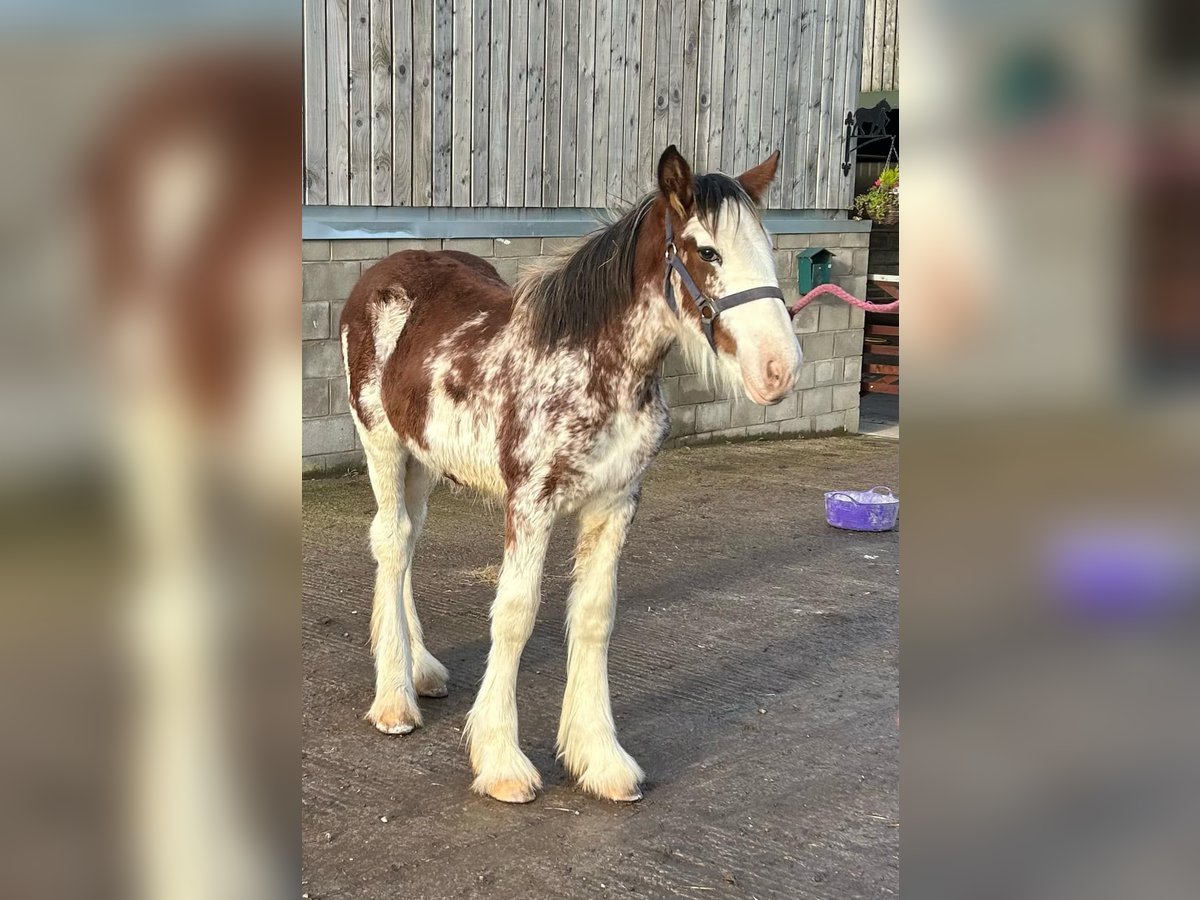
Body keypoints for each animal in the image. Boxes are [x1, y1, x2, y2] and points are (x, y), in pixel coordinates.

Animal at [343, 146, 801, 801]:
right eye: (707, 251)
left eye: (767, 246)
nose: (779, 369)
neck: (594, 365)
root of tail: (382, 274)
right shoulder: (530, 502)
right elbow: (515, 614)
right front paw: (501, 761)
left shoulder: (616, 504)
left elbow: (593, 616)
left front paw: (600, 759)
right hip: (381, 443)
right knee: (391, 541)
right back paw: (393, 699)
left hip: (423, 461)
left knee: (407, 543)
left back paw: (420, 669)